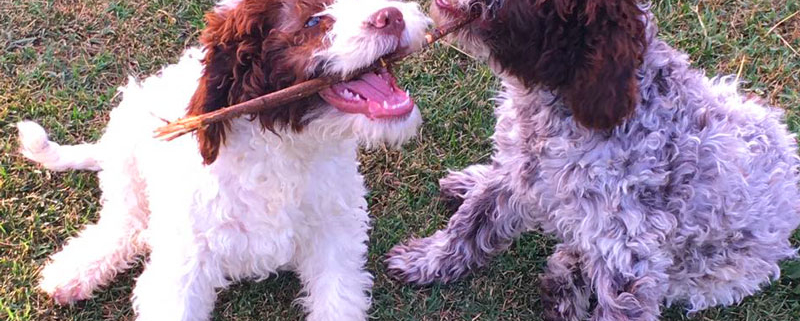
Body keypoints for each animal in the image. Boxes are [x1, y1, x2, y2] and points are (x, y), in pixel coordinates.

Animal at [17, 0, 432, 320]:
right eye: (313, 21)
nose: (392, 15)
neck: (281, 147)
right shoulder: (183, 268)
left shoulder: (335, 238)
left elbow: (339, 300)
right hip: (126, 151)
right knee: (127, 221)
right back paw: (76, 270)